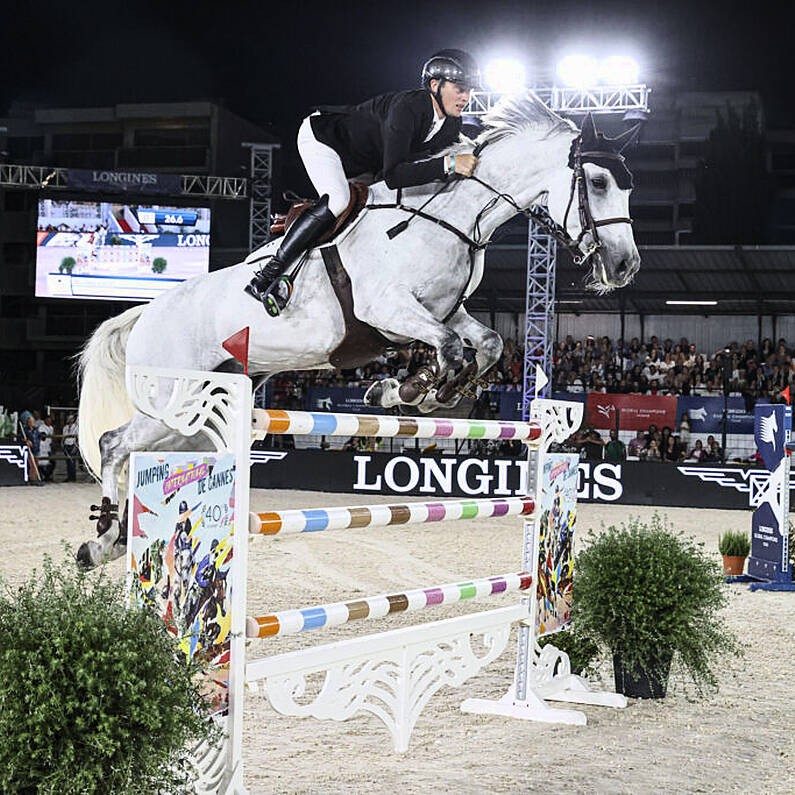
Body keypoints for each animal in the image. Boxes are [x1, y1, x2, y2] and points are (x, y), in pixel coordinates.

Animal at [77, 91, 644, 564]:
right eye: (597, 183)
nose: (624, 267)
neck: (452, 220)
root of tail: (146, 312)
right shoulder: (387, 310)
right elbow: (450, 348)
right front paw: (413, 389)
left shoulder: (446, 310)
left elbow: (485, 344)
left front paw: (421, 391)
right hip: (175, 397)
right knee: (112, 445)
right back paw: (100, 539)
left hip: (201, 407)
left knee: (147, 452)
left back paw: (115, 539)